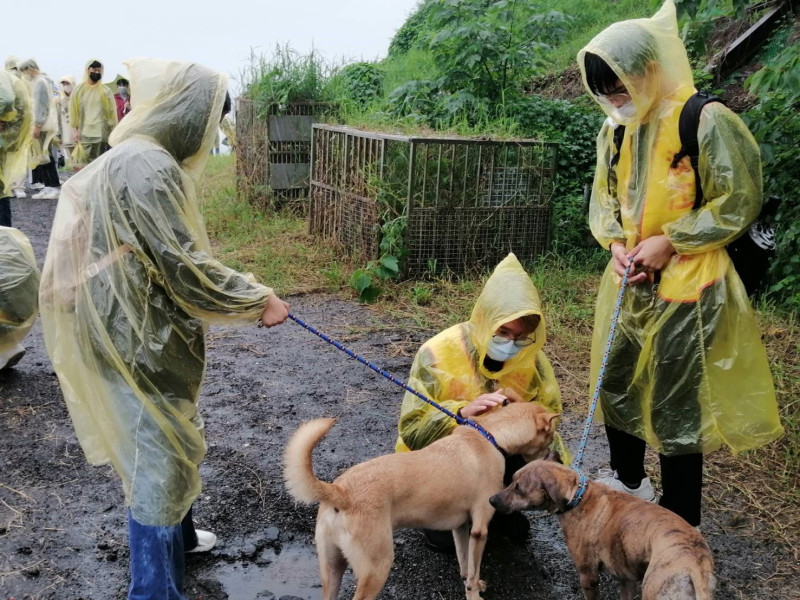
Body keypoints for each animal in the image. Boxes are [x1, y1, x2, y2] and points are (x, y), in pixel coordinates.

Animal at [284, 400, 560, 600]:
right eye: (550, 437)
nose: (556, 457)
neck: (490, 436)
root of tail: (341, 491)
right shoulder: (480, 529)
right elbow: (473, 569)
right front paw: (474, 594)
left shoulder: (461, 528)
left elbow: (465, 566)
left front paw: (471, 584)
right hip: (377, 568)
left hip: (332, 569)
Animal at [490, 458, 716, 596]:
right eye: (511, 480)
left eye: (519, 489)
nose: (491, 500)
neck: (577, 495)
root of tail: (694, 564)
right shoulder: (627, 578)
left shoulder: (588, 576)